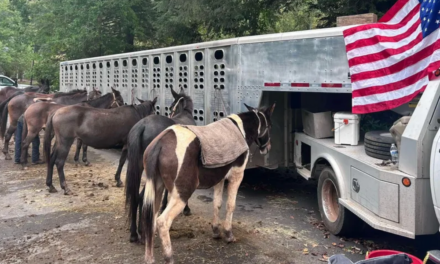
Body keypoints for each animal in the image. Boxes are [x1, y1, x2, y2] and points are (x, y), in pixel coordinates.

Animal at [123, 88, 193, 243]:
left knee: (135, 196)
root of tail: (142, 126)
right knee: (143, 196)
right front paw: (185, 208)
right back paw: (143, 231)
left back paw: (134, 233)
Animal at [139, 103, 274, 264]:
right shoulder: (236, 175)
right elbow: (230, 205)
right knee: (162, 222)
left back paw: (149, 257)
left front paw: (216, 231)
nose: (267, 147)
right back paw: (169, 257)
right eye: (269, 125)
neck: (240, 130)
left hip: (158, 189)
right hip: (181, 194)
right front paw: (228, 234)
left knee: (151, 219)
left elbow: (217, 203)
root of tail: (159, 144)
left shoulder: (220, 179)